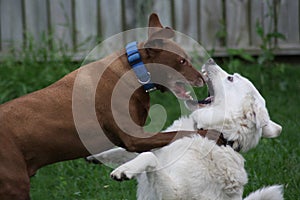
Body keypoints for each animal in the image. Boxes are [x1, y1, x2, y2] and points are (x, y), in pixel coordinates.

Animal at [0, 13, 204, 198]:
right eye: (182, 61)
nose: (202, 78)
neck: (134, 71)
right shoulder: (134, 138)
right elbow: (183, 132)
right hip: (15, 186)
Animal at [88, 58, 284, 200]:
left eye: (230, 78)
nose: (211, 59)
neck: (207, 132)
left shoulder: (173, 194)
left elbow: (149, 157)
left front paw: (123, 171)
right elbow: (128, 151)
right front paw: (95, 157)